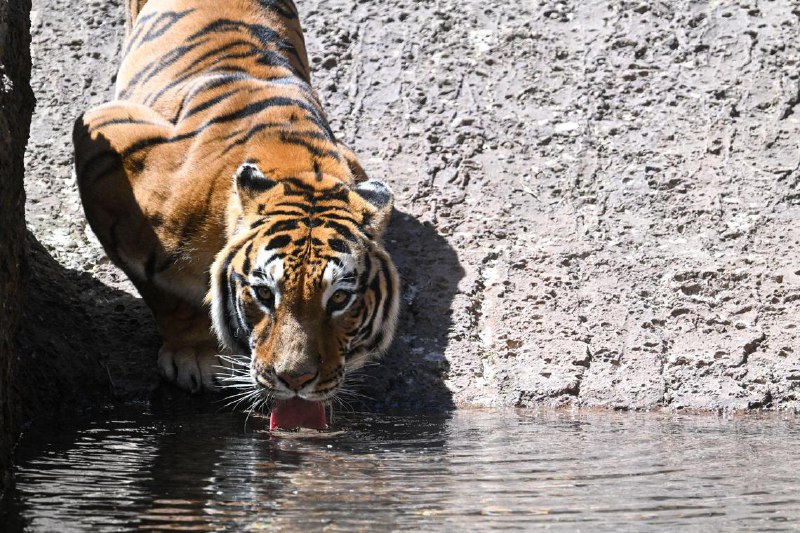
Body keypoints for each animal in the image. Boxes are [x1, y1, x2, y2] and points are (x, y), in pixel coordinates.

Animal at [72, 0, 400, 424]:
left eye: (340, 298)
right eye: (263, 293)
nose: (296, 380)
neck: (296, 166)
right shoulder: (106, 142)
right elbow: (163, 289)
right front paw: (194, 352)